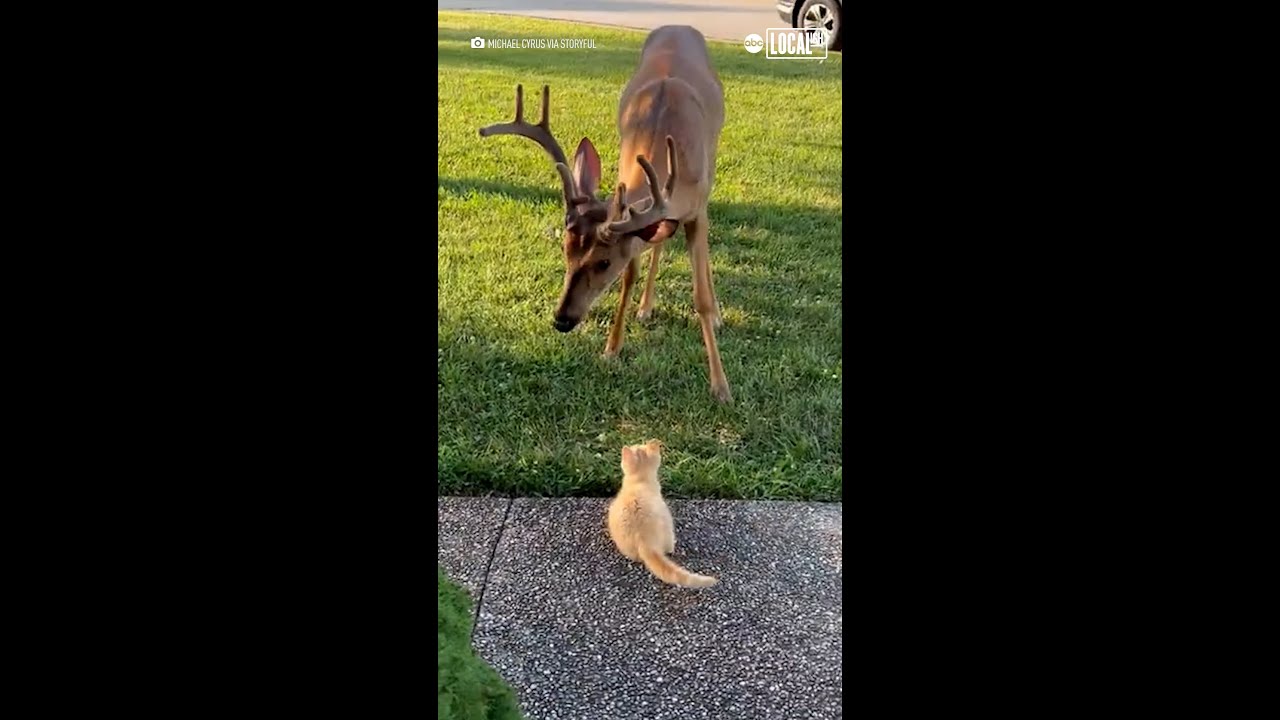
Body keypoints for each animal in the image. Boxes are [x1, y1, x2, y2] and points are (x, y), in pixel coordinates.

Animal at [477, 26, 732, 403]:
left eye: (604, 262)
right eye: (565, 251)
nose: (561, 319)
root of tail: (679, 27)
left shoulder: (696, 207)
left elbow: (699, 295)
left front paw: (720, 385)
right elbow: (631, 274)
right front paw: (612, 348)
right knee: (659, 242)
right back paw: (646, 308)